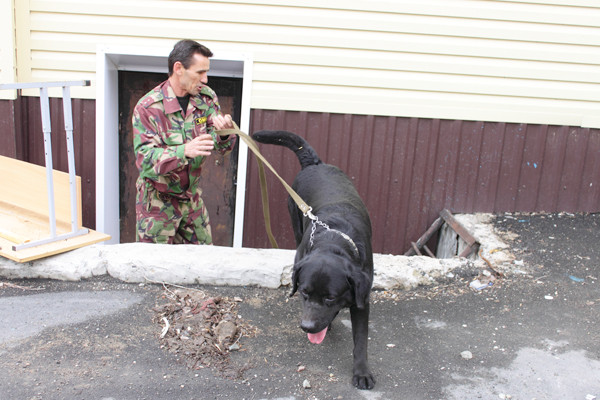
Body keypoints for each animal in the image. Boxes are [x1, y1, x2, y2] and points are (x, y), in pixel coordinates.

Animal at [252, 130, 376, 390]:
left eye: (330, 297)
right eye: (304, 293)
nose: (306, 327)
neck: (332, 242)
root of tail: (315, 163)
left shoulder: (363, 297)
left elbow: (361, 339)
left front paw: (362, 372)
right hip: (295, 219)